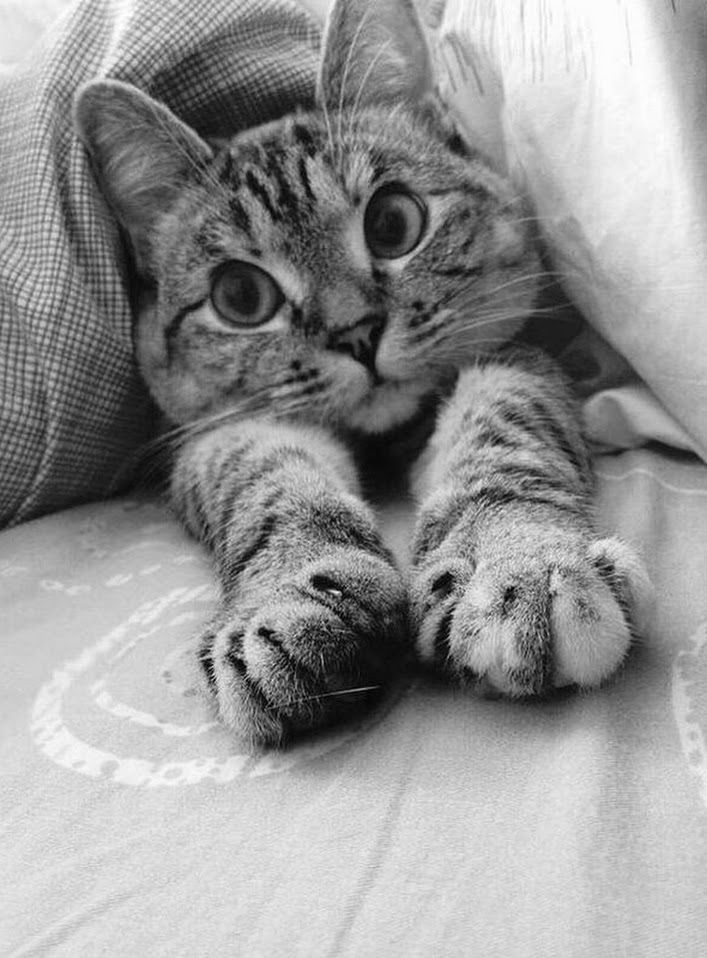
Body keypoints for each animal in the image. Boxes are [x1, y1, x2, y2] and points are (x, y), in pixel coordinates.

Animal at [73, 0, 652, 748]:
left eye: (393, 222)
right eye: (240, 296)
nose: (357, 331)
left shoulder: (512, 352)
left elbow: (502, 436)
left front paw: (520, 561)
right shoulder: (219, 428)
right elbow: (270, 484)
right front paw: (286, 597)